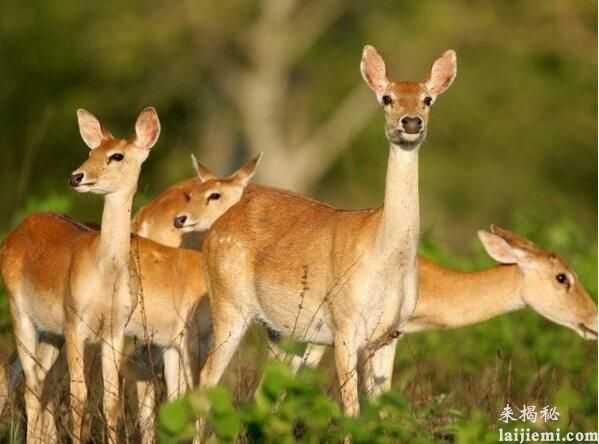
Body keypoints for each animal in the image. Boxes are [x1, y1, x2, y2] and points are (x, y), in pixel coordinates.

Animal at [176, 44, 458, 426]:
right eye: (386, 98)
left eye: (428, 99)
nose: (411, 122)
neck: (385, 257)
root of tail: (216, 229)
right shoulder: (344, 325)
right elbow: (352, 410)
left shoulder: (390, 334)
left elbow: (384, 412)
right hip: (229, 304)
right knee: (207, 378)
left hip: (280, 330)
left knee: (263, 392)